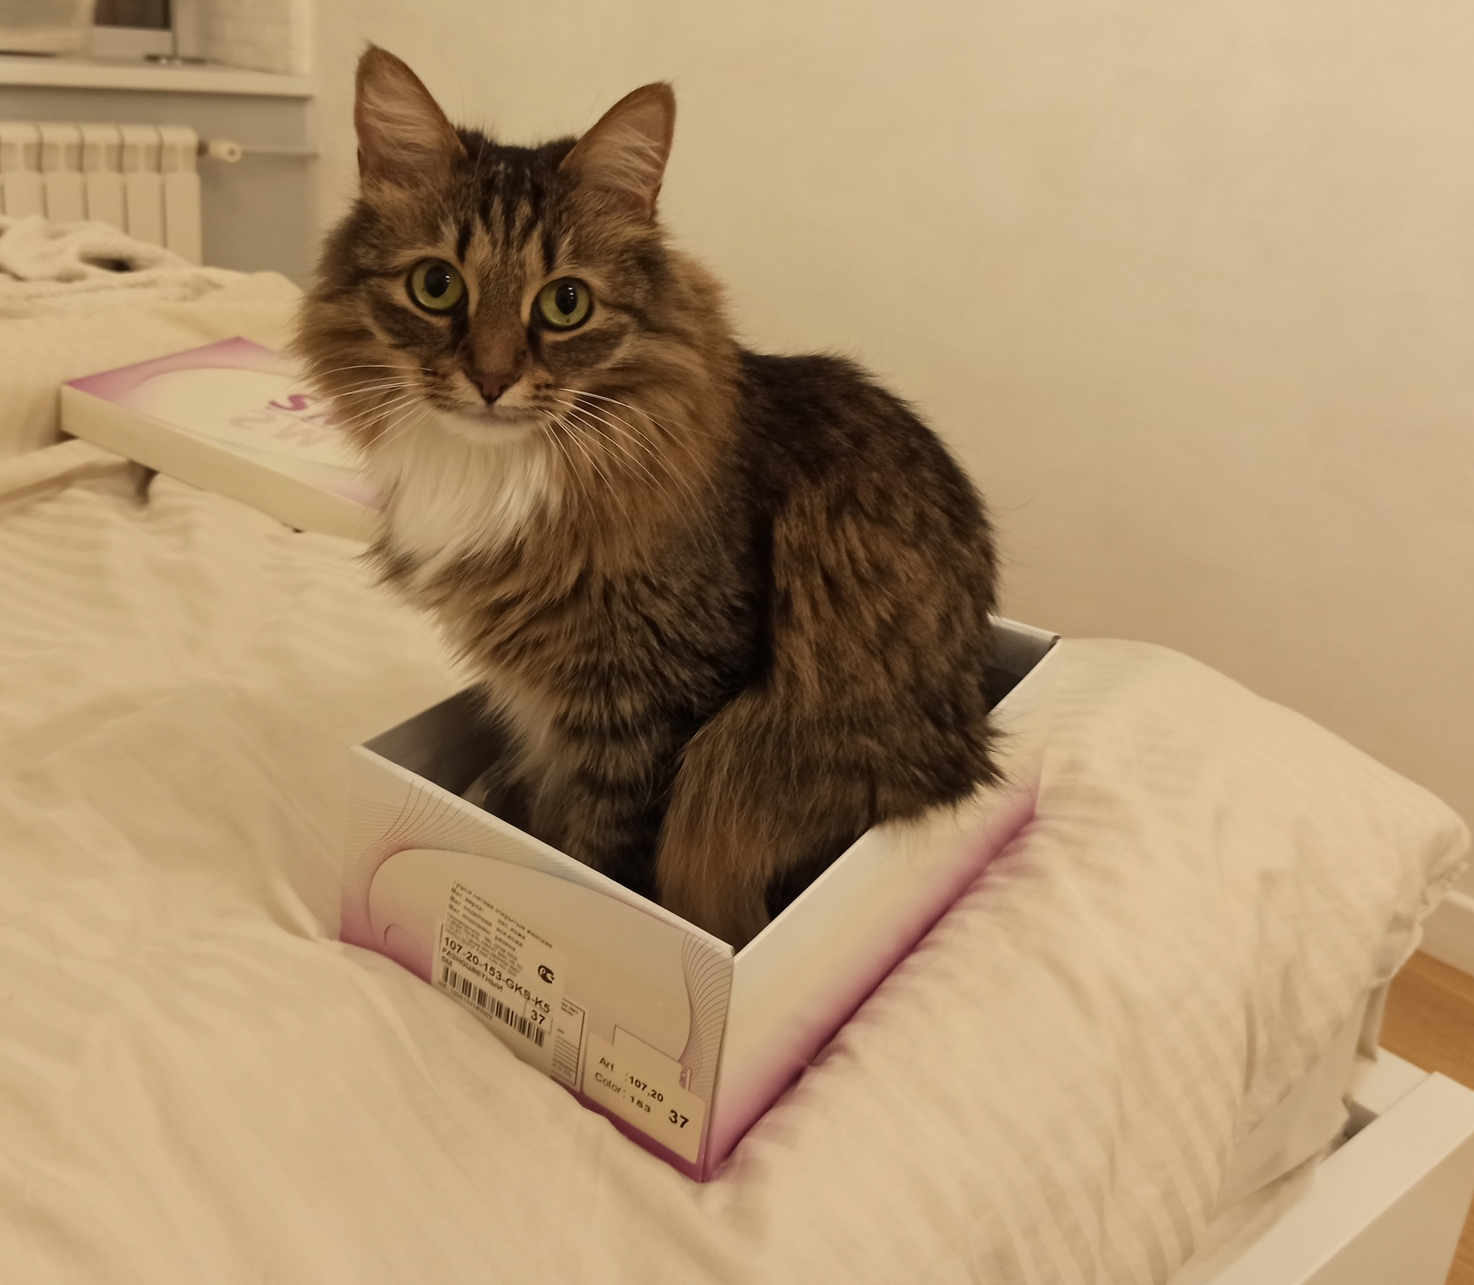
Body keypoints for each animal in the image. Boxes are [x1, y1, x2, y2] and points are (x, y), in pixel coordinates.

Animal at [296, 47, 1001, 949]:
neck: (504, 471)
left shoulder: (654, 705)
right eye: (436, 286)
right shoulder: (550, 709)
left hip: (737, 768)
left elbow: (603, 851)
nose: (491, 379)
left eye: (565, 302)